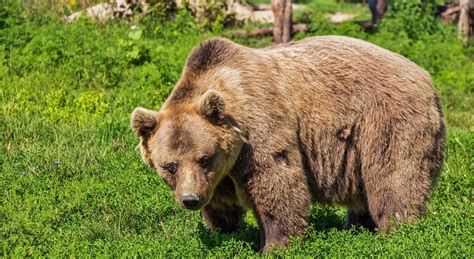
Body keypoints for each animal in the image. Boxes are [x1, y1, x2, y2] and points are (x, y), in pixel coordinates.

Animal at [130, 36, 444, 252]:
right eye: (169, 166)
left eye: (204, 158)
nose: (190, 199)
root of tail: (426, 76)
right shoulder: (219, 174)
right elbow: (221, 204)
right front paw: (224, 232)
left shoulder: (259, 129)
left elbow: (277, 183)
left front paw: (274, 244)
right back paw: (356, 226)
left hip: (386, 121)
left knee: (394, 178)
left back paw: (397, 231)